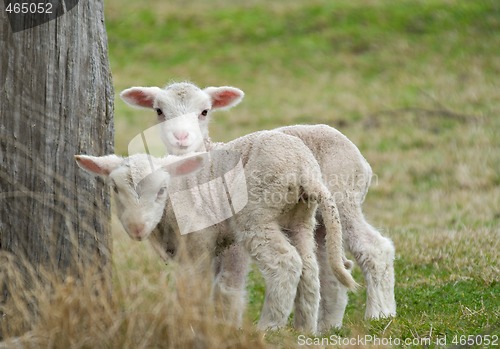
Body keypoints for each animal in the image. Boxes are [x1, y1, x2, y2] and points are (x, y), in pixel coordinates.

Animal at [74, 128, 358, 332]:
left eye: (161, 190)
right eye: (115, 189)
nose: (136, 228)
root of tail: (304, 171)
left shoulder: (197, 243)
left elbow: (194, 287)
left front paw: (190, 324)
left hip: (257, 213)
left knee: (286, 264)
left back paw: (268, 328)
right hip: (300, 217)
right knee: (309, 268)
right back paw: (303, 329)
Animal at [119, 81, 396, 328]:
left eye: (204, 111)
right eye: (159, 111)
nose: (181, 137)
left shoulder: (231, 242)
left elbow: (227, 286)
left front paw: (227, 325)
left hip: (343, 199)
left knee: (374, 248)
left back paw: (379, 314)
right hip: (318, 220)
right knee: (328, 269)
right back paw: (327, 326)